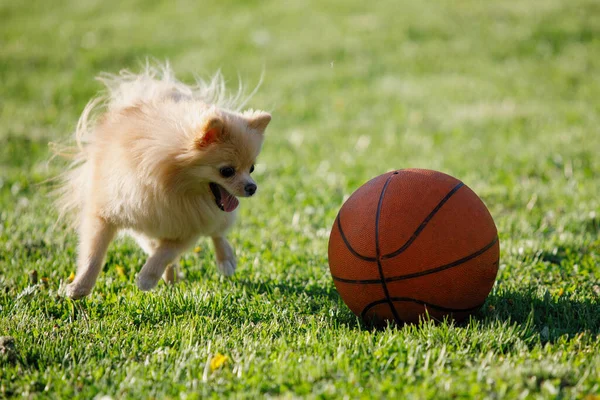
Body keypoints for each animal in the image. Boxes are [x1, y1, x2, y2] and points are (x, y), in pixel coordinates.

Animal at [55, 63, 270, 300]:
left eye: (251, 168)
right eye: (227, 171)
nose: (252, 187)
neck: (167, 185)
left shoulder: (189, 226)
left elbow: (166, 252)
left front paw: (147, 277)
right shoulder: (107, 213)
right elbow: (93, 255)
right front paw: (79, 287)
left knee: (217, 232)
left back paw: (225, 261)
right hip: (143, 227)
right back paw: (171, 277)